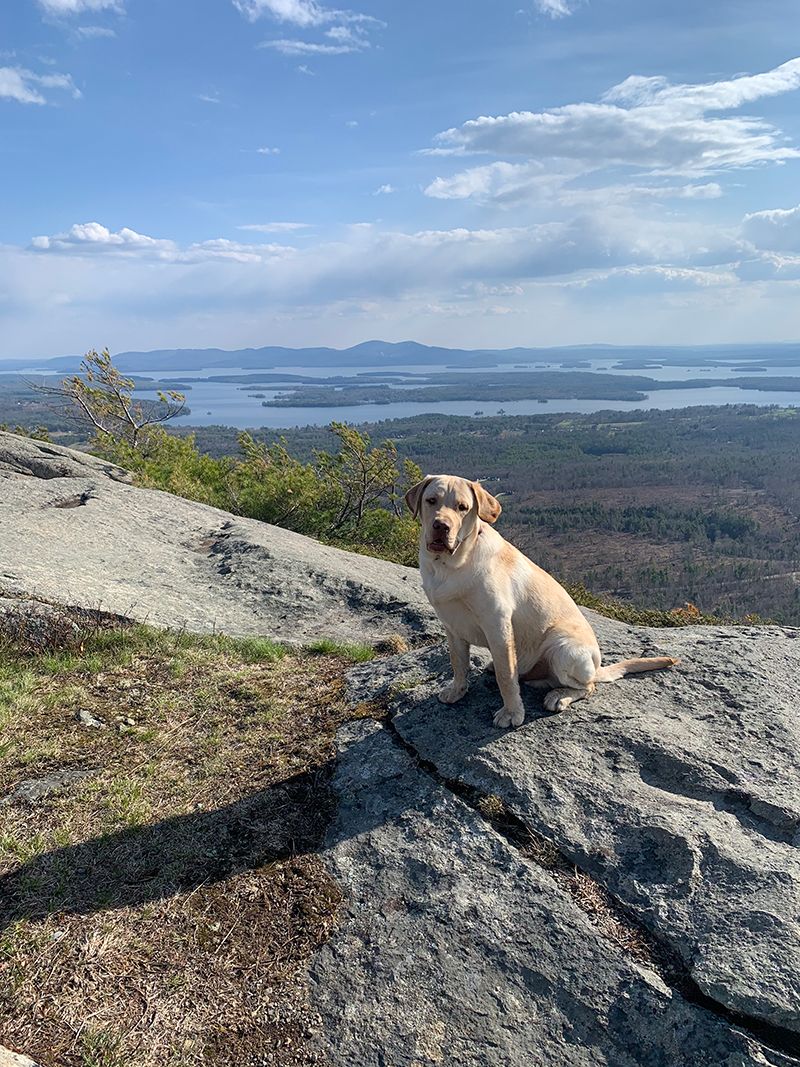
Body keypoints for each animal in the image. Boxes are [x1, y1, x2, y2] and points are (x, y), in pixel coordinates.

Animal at [407, 473, 678, 725]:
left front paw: (512, 713)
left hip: (561, 647)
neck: (449, 565)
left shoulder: (498, 625)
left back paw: (560, 695)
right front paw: (457, 691)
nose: (441, 526)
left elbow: (506, 676)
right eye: (431, 501)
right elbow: (458, 663)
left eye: (462, 507)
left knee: (587, 686)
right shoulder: (452, 626)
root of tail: (597, 666)